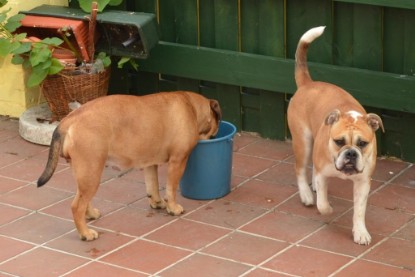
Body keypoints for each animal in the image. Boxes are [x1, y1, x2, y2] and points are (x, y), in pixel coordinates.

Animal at [37, 90, 223, 239]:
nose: (213, 137)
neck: (192, 107)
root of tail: (69, 119)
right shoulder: (178, 160)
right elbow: (171, 188)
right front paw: (173, 207)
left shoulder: (150, 163)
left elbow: (153, 185)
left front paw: (157, 203)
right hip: (92, 171)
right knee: (76, 206)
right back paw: (86, 234)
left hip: (83, 172)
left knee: (82, 198)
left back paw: (90, 215)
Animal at [288, 27, 386, 244]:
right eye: (339, 141)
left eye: (363, 143)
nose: (351, 153)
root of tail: (307, 84)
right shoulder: (324, 173)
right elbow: (323, 204)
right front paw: (326, 208)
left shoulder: (363, 183)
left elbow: (359, 210)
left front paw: (360, 232)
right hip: (303, 142)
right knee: (300, 169)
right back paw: (307, 195)